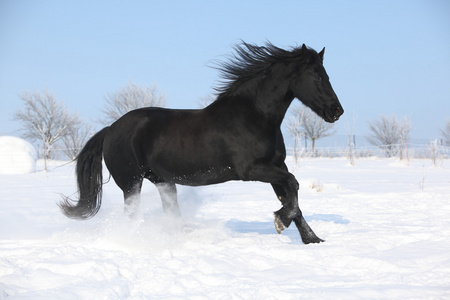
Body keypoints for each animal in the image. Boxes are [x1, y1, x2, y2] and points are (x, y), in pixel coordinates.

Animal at [59, 41, 342, 244]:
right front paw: (281, 222)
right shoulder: (252, 170)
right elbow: (293, 186)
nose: (336, 111)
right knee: (131, 216)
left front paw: (312, 239)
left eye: (327, 75)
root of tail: (111, 129)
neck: (254, 115)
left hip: (163, 181)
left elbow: (292, 196)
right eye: (317, 76)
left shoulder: (277, 167)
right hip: (131, 183)